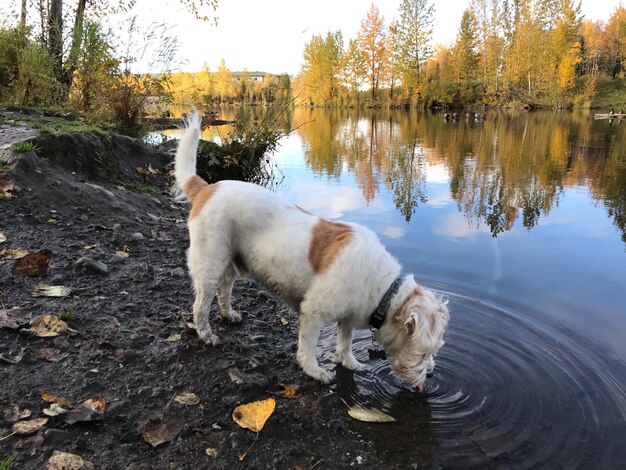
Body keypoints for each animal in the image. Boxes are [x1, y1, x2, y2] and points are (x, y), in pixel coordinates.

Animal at [173, 110, 446, 390]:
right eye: (424, 353)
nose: (431, 374)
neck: (383, 290)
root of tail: (207, 188)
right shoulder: (313, 313)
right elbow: (309, 347)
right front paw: (314, 371)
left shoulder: (346, 318)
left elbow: (345, 343)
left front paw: (350, 363)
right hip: (209, 266)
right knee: (201, 305)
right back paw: (206, 335)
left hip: (229, 263)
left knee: (224, 291)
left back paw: (229, 315)